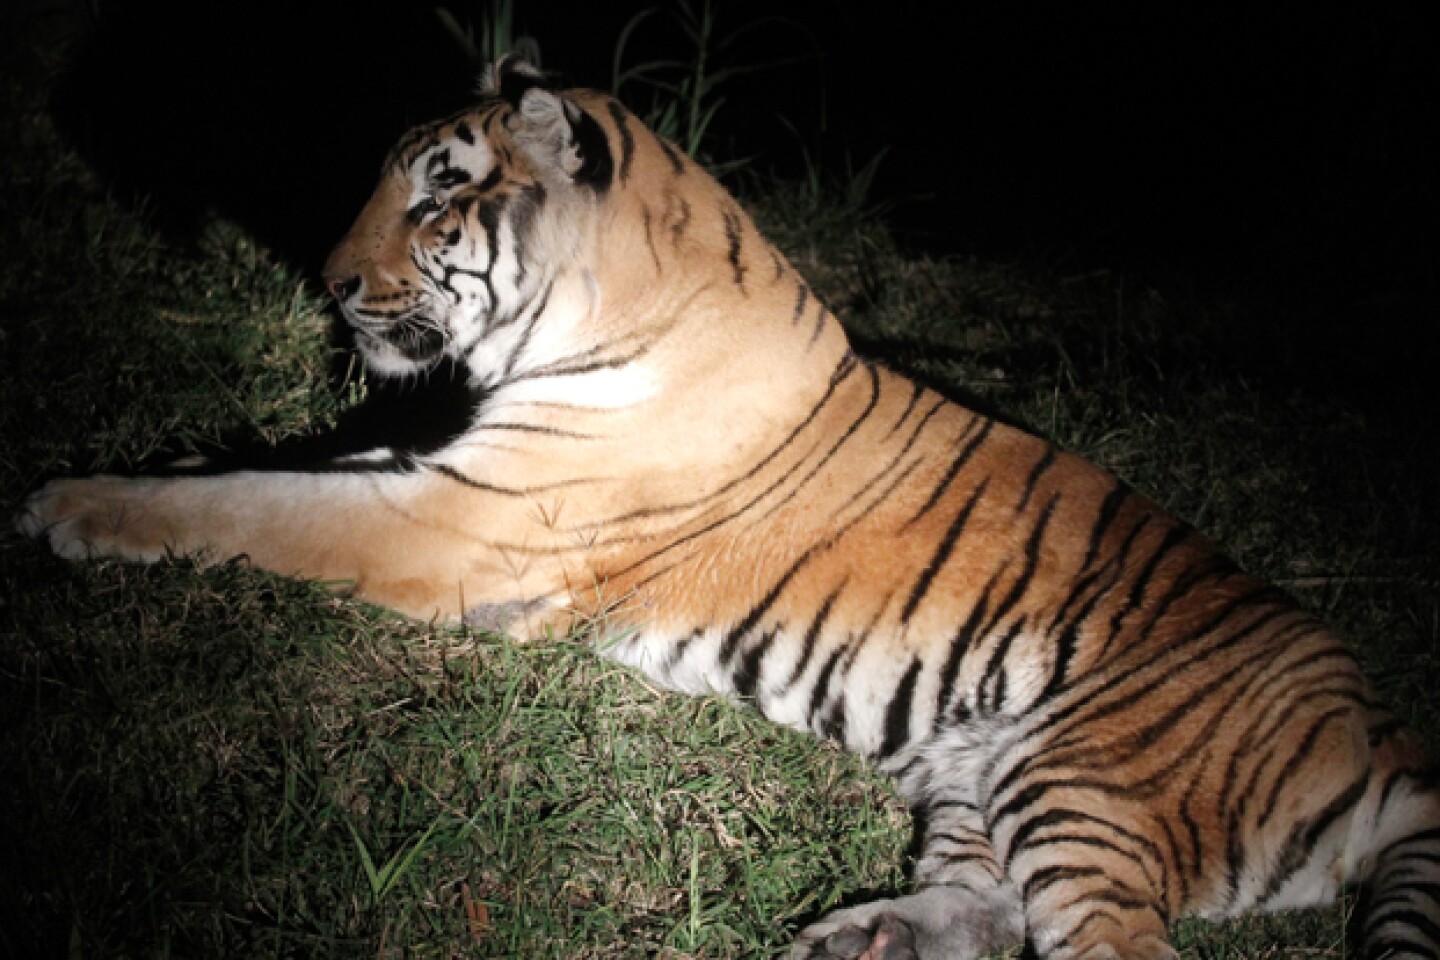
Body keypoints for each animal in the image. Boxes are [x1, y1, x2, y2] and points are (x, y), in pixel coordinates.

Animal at [14, 56, 1440, 955]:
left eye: (438, 192)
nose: (328, 280)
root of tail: (1385, 728)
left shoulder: (455, 516)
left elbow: (259, 507)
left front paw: (63, 504)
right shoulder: (437, 478)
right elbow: (249, 474)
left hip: (1090, 775)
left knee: (1111, 945)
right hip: (976, 779)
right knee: (993, 910)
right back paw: (860, 938)